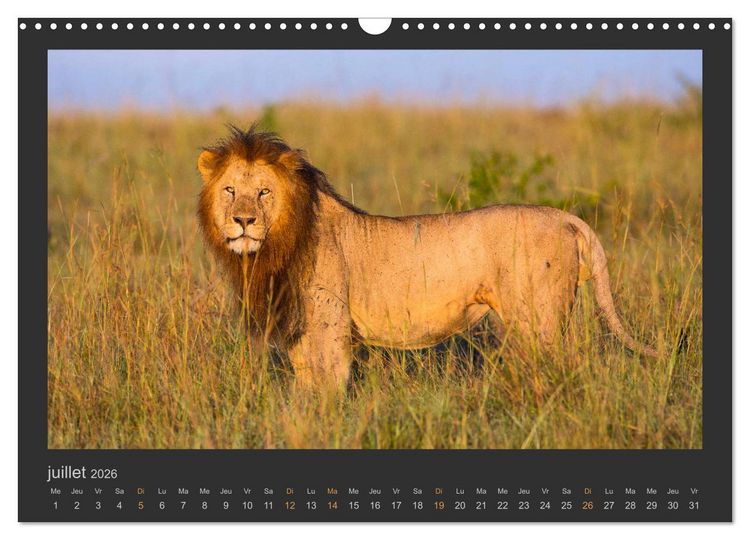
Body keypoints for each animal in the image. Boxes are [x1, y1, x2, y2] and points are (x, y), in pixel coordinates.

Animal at [197, 125, 657, 388]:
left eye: (263, 192)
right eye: (230, 190)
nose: (243, 221)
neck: (272, 249)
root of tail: (565, 217)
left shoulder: (329, 328)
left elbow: (327, 388)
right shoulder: (300, 329)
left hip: (538, 319)